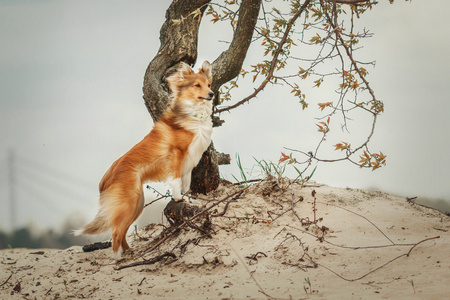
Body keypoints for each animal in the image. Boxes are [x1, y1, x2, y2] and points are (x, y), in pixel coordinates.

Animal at [74, 61, 214, 255]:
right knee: (116, 232)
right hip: (129, 202)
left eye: (209, 84)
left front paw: (189, 199)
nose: (212, 94)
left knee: (122, 231)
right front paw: (178, 198)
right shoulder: (177, 155)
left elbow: (186, 184)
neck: (194, 114)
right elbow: (176, 181)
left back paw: (130, 252)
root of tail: (104, 179)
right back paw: (118, 258)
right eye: (197, 85)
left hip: (136, 204)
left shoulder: (189, 162)